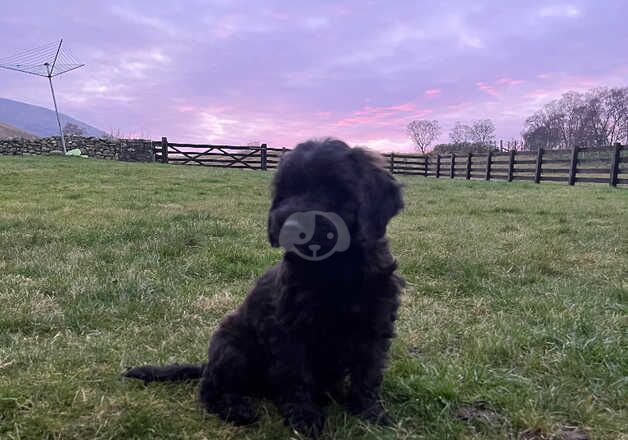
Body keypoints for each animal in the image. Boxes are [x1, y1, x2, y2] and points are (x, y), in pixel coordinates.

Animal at [125, 138, 404, 436]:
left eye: (334, 187)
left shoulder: (374, 326)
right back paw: (236, 409)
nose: (291, 226)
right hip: (232, 347)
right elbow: (297, 376)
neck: (334, 268)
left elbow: (369, 373)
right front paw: (304, 417)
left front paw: (371, 413)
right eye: (286, 190)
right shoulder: (289, 331)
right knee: (211, 388)